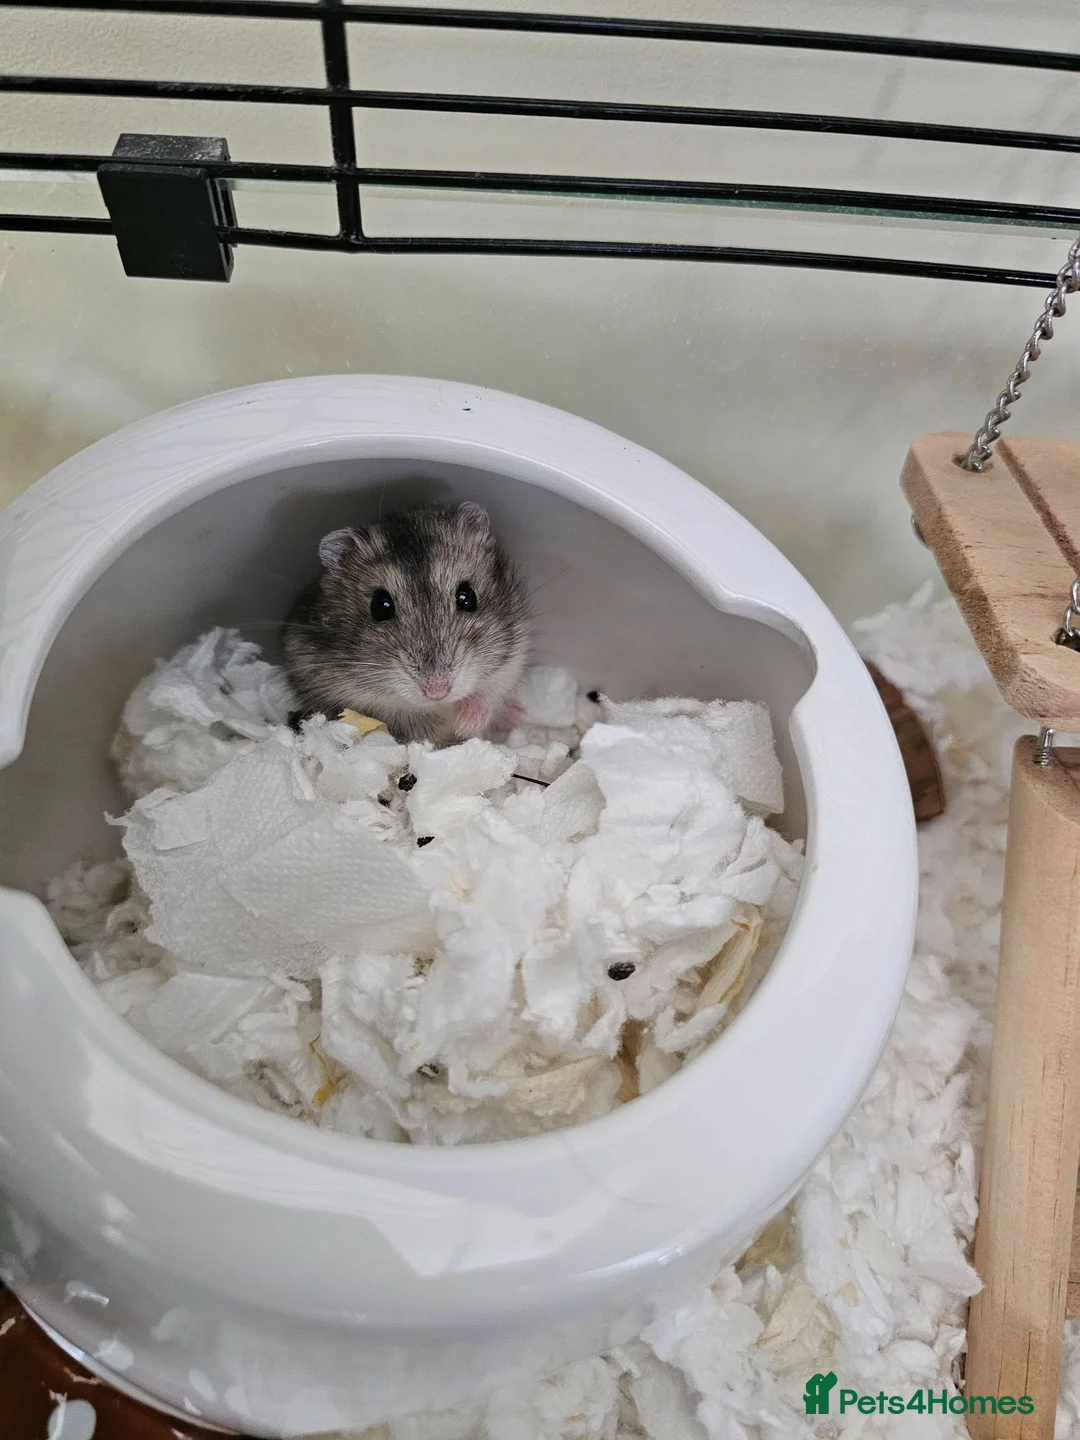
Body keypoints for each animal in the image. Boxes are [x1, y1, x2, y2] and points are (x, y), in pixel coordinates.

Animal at [282, 502, 530, 745]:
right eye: (380, 607)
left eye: (467, 596)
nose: (437, 691)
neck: (442, 705)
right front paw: (455, 731)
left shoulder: (511, 661)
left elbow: (487, 695)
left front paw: (467, 723)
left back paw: (516, 714)